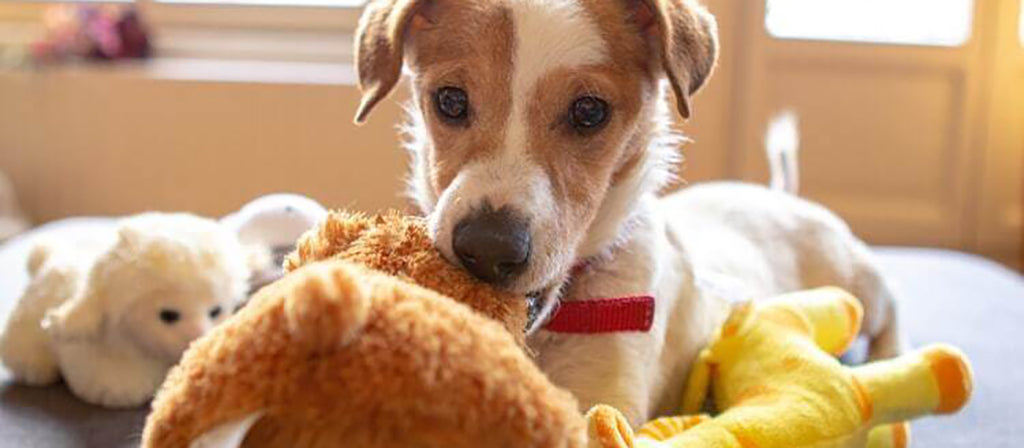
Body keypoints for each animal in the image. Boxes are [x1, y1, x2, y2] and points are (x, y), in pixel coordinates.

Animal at [356, 0, 901, 427]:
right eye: (450, 100)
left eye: (589, 112)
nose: (487, 250)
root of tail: (779, 194)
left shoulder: (605, 401)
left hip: (859, 284)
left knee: (890, 311)